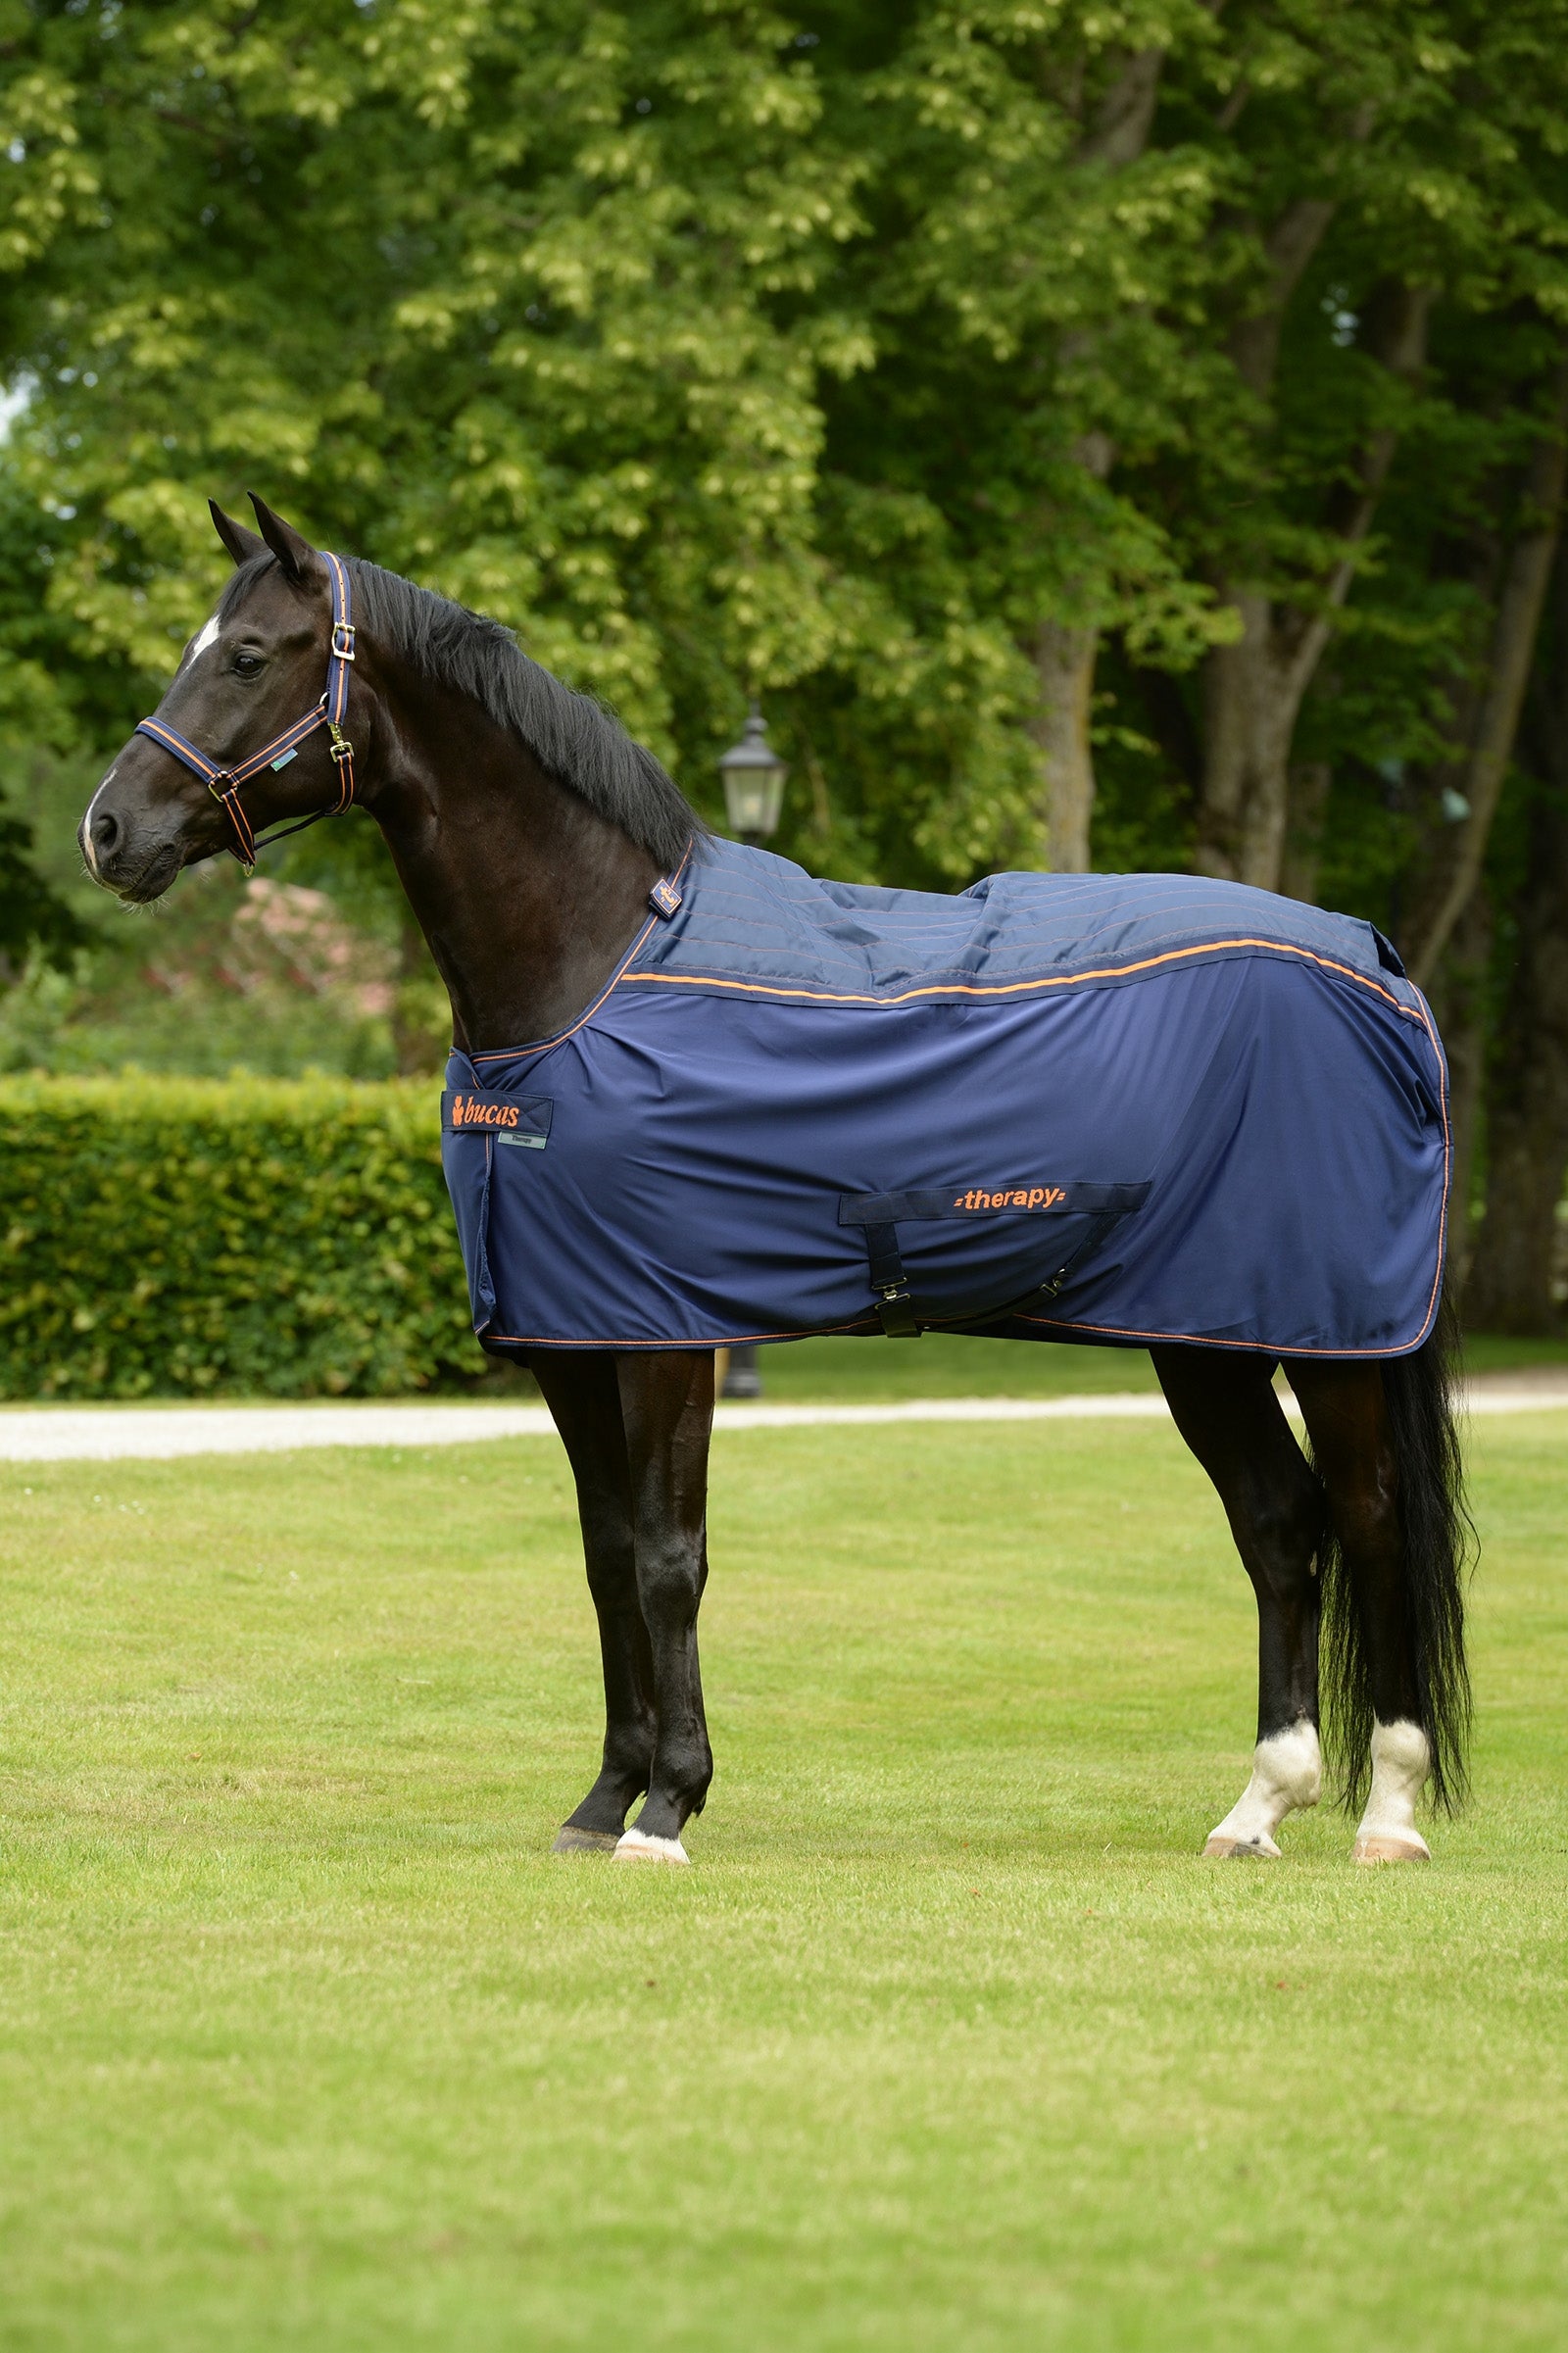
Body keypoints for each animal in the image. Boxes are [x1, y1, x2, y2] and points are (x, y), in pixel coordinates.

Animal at [79, 496, 1471, 1868]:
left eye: (245, 656)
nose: (108, 830)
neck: (590, 963)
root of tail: (1376, 963)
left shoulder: (668, 1334)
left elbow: (667, 1559)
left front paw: (668, 1808)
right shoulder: (573, 1336)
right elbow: (604, 1556)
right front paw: (602, 1799)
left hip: (1328, 1337)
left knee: (1369, 1518)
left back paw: (1388, 1811)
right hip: (1204, 1332)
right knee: (1279, 1526)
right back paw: (1259, 1805)